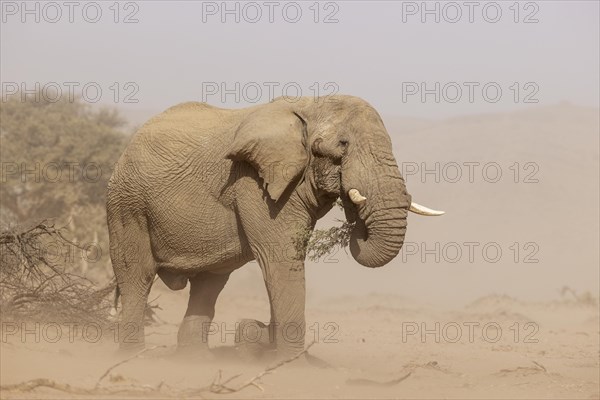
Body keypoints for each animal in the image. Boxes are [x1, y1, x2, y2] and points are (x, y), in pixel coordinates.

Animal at [108, 95, 442, 358]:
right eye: (343, 145)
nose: (352, 206)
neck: (310, 106)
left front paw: (259, 339)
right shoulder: (253, 182)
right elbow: (280, 258)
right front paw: (289, 360)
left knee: (210, 283)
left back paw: (195, 360)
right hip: (127, 203)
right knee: (137, 275)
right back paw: (134, 355)